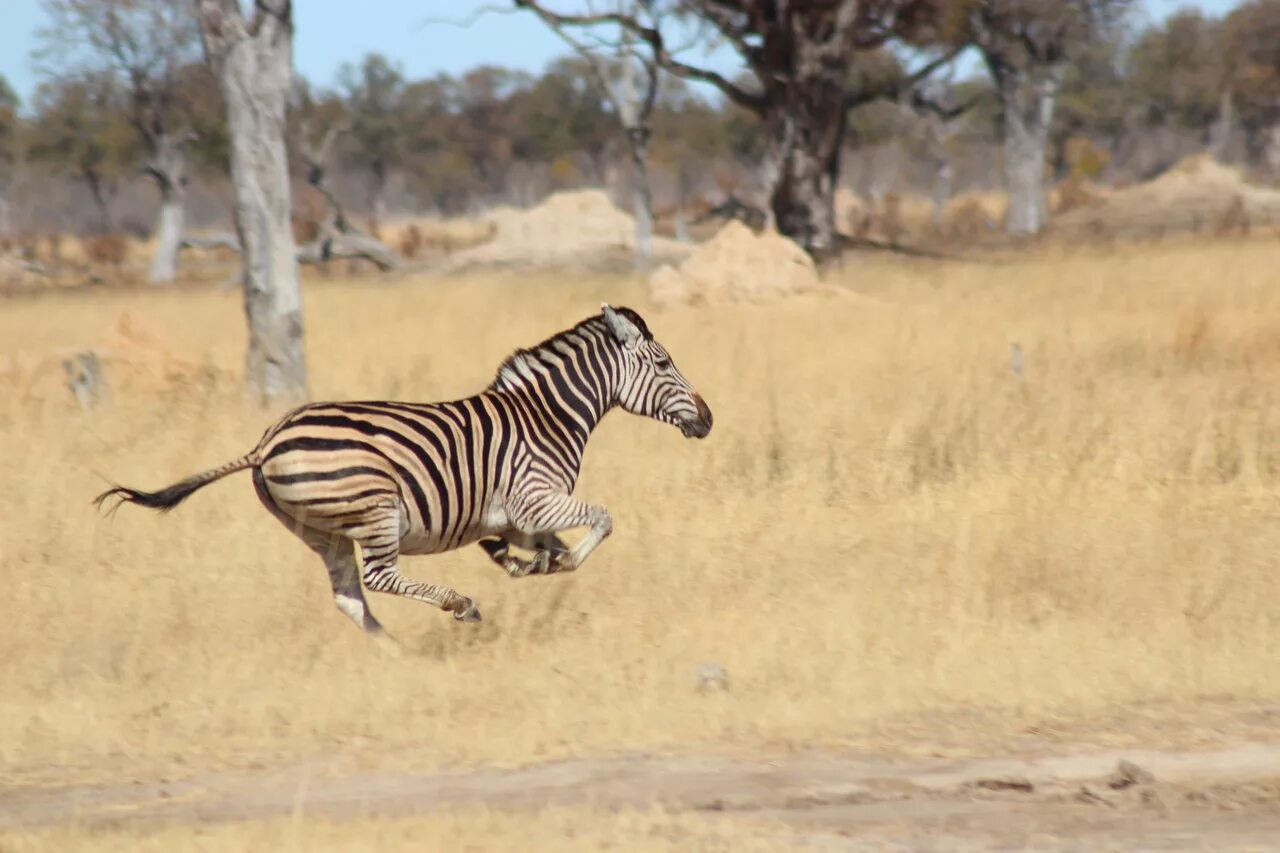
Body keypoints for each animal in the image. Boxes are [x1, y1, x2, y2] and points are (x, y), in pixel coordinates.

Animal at [94, 302, 716, 635]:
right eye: (664, 362)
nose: (708, 419)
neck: (547, 416)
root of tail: (266, 442)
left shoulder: (513, 516)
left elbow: (535, 548)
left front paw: (532, 564)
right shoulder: (535, 498)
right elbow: (603, 520)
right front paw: (551, 565)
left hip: (318, 530)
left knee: (349, 597)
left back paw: (395, 654)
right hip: (376, 510)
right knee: (377, 578)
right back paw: (458, 606)